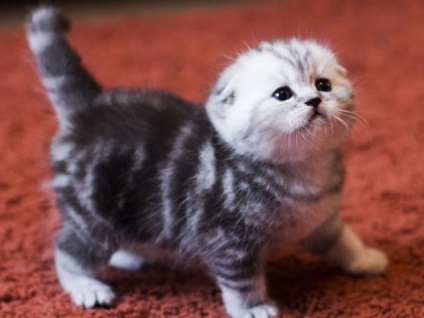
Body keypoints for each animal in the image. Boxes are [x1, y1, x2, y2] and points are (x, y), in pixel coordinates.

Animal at [27, 6, 388, 318]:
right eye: (283, 94)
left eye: (323, 85)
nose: (314, 100)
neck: (303, 172)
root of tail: (88, 108)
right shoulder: (227, 239)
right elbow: (242, 281)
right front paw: (253, 307)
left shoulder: (320, 220)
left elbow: (341, 240)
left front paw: (364, 259)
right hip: (94, 213)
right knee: (67, 251)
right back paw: (87, 286)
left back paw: (130, 255)